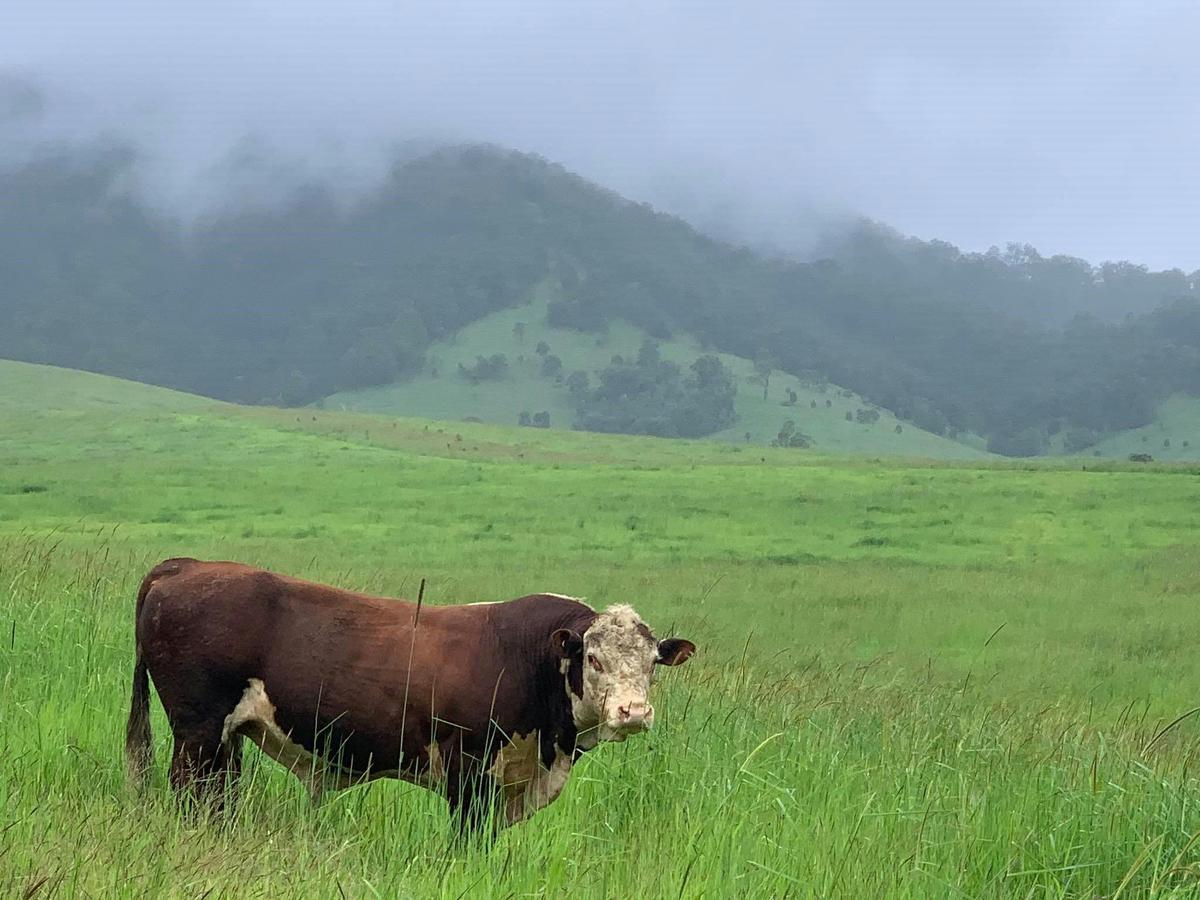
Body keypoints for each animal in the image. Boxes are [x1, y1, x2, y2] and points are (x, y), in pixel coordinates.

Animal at [124, 558, 696, 831]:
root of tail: (186, 565)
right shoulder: (469, 773)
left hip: (228, 737)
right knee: (190, 790)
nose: (634, 711)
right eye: (593, 659)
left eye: (652, 664)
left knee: (220, 795)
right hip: (197, 730)